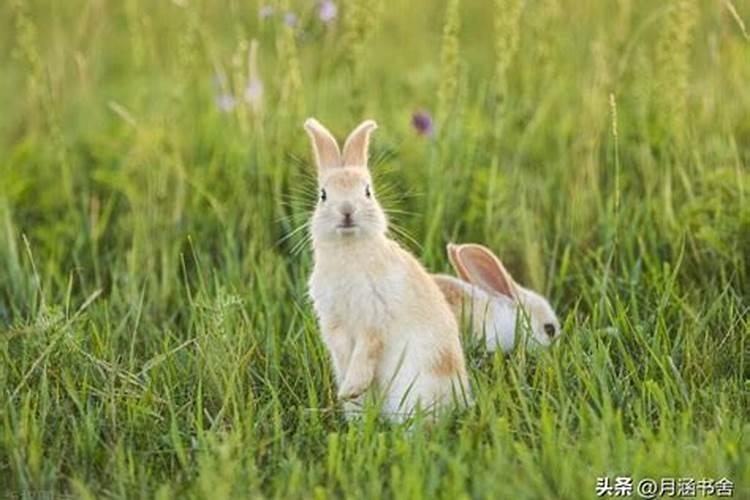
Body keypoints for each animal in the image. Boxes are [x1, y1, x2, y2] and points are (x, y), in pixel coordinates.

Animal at [304, 119, 470, 420]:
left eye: (367, 191)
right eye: (323, 195)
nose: (347, 210)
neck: (350, 249)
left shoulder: (374, 314)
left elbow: (366, 350)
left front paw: (351, 387)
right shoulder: (335, 321)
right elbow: (344, 352)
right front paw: (347, 391)